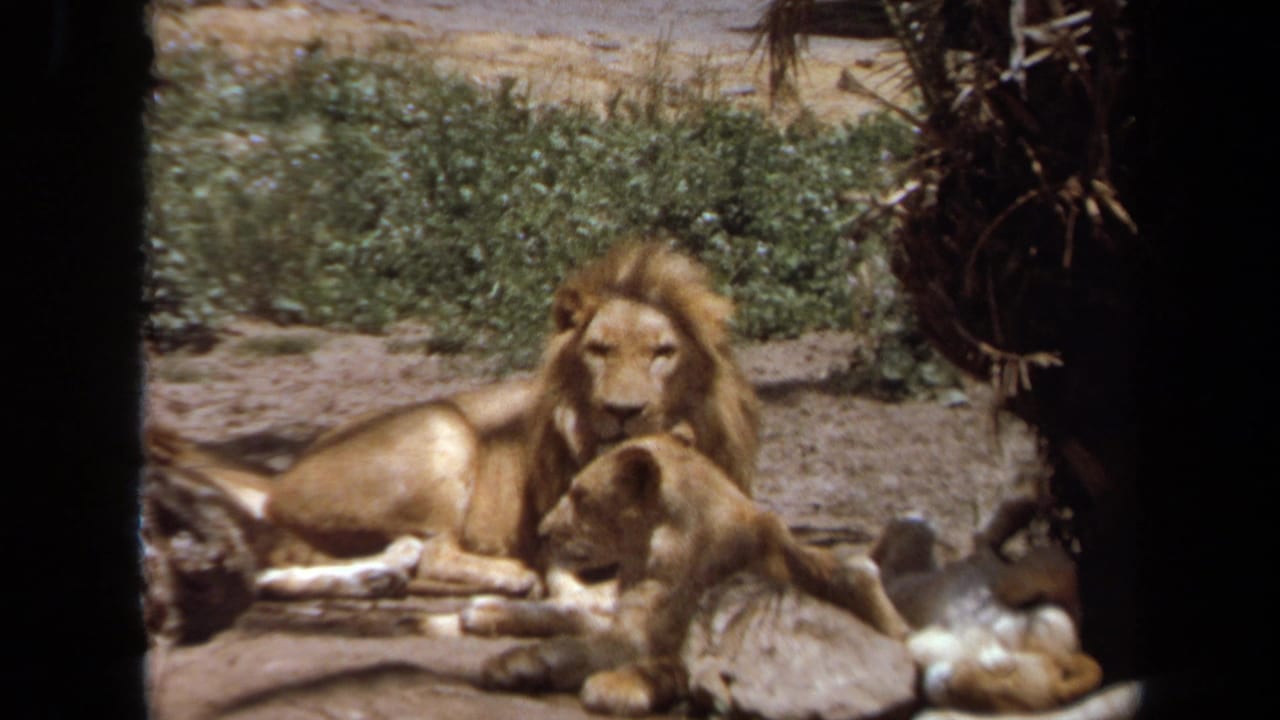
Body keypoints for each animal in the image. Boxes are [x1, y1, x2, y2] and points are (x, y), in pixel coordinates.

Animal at [161, 241, 760, 602]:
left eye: (663, 352)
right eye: (599, 351)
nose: (622, 411)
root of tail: (283, 477)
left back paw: (380, 574)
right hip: (443, 429)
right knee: (432, 554)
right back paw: (503, 577)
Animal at [479, 434, 911, 717]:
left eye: (581, 497)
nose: (541, 531)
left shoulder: (640, 637)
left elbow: (573, 644)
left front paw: (518, 662)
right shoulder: (633, 619)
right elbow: (569, 622)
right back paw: (487, 609)